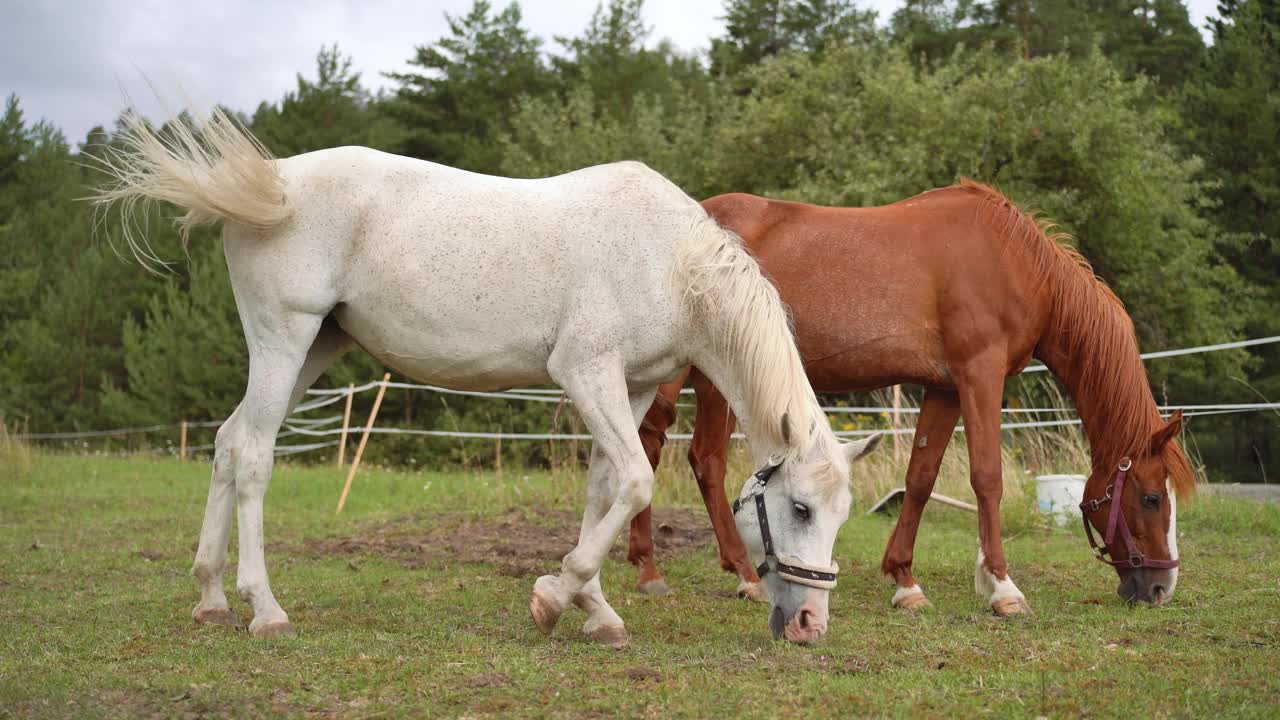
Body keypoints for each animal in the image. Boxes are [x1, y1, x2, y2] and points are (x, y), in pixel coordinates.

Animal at [94, 109, 880, 648]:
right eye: (800, 509)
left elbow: (604, 489)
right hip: (284, 338)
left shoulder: (623, 389)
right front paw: (553, 597)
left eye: (840, 515)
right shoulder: (585, 373)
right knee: (255, 454)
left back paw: (210, 599)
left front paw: (594, 610)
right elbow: (633, 482)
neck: (669, 260)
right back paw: (264, 609)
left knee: (229, 443)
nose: (810, 624)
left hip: (314, 347)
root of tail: (276, 183)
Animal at [629, 179, 1187, 609]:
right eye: (1152, 497)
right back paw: (743, 574)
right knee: (704, 459)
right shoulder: (980, 375)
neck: (1014, 262)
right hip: (711, 377)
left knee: (649, 447)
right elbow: (987, 477)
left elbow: (921, 476)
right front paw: (1003, 588)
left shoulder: (945, 387)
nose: (1161, 587)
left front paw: (906, 581)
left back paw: (649, 570)